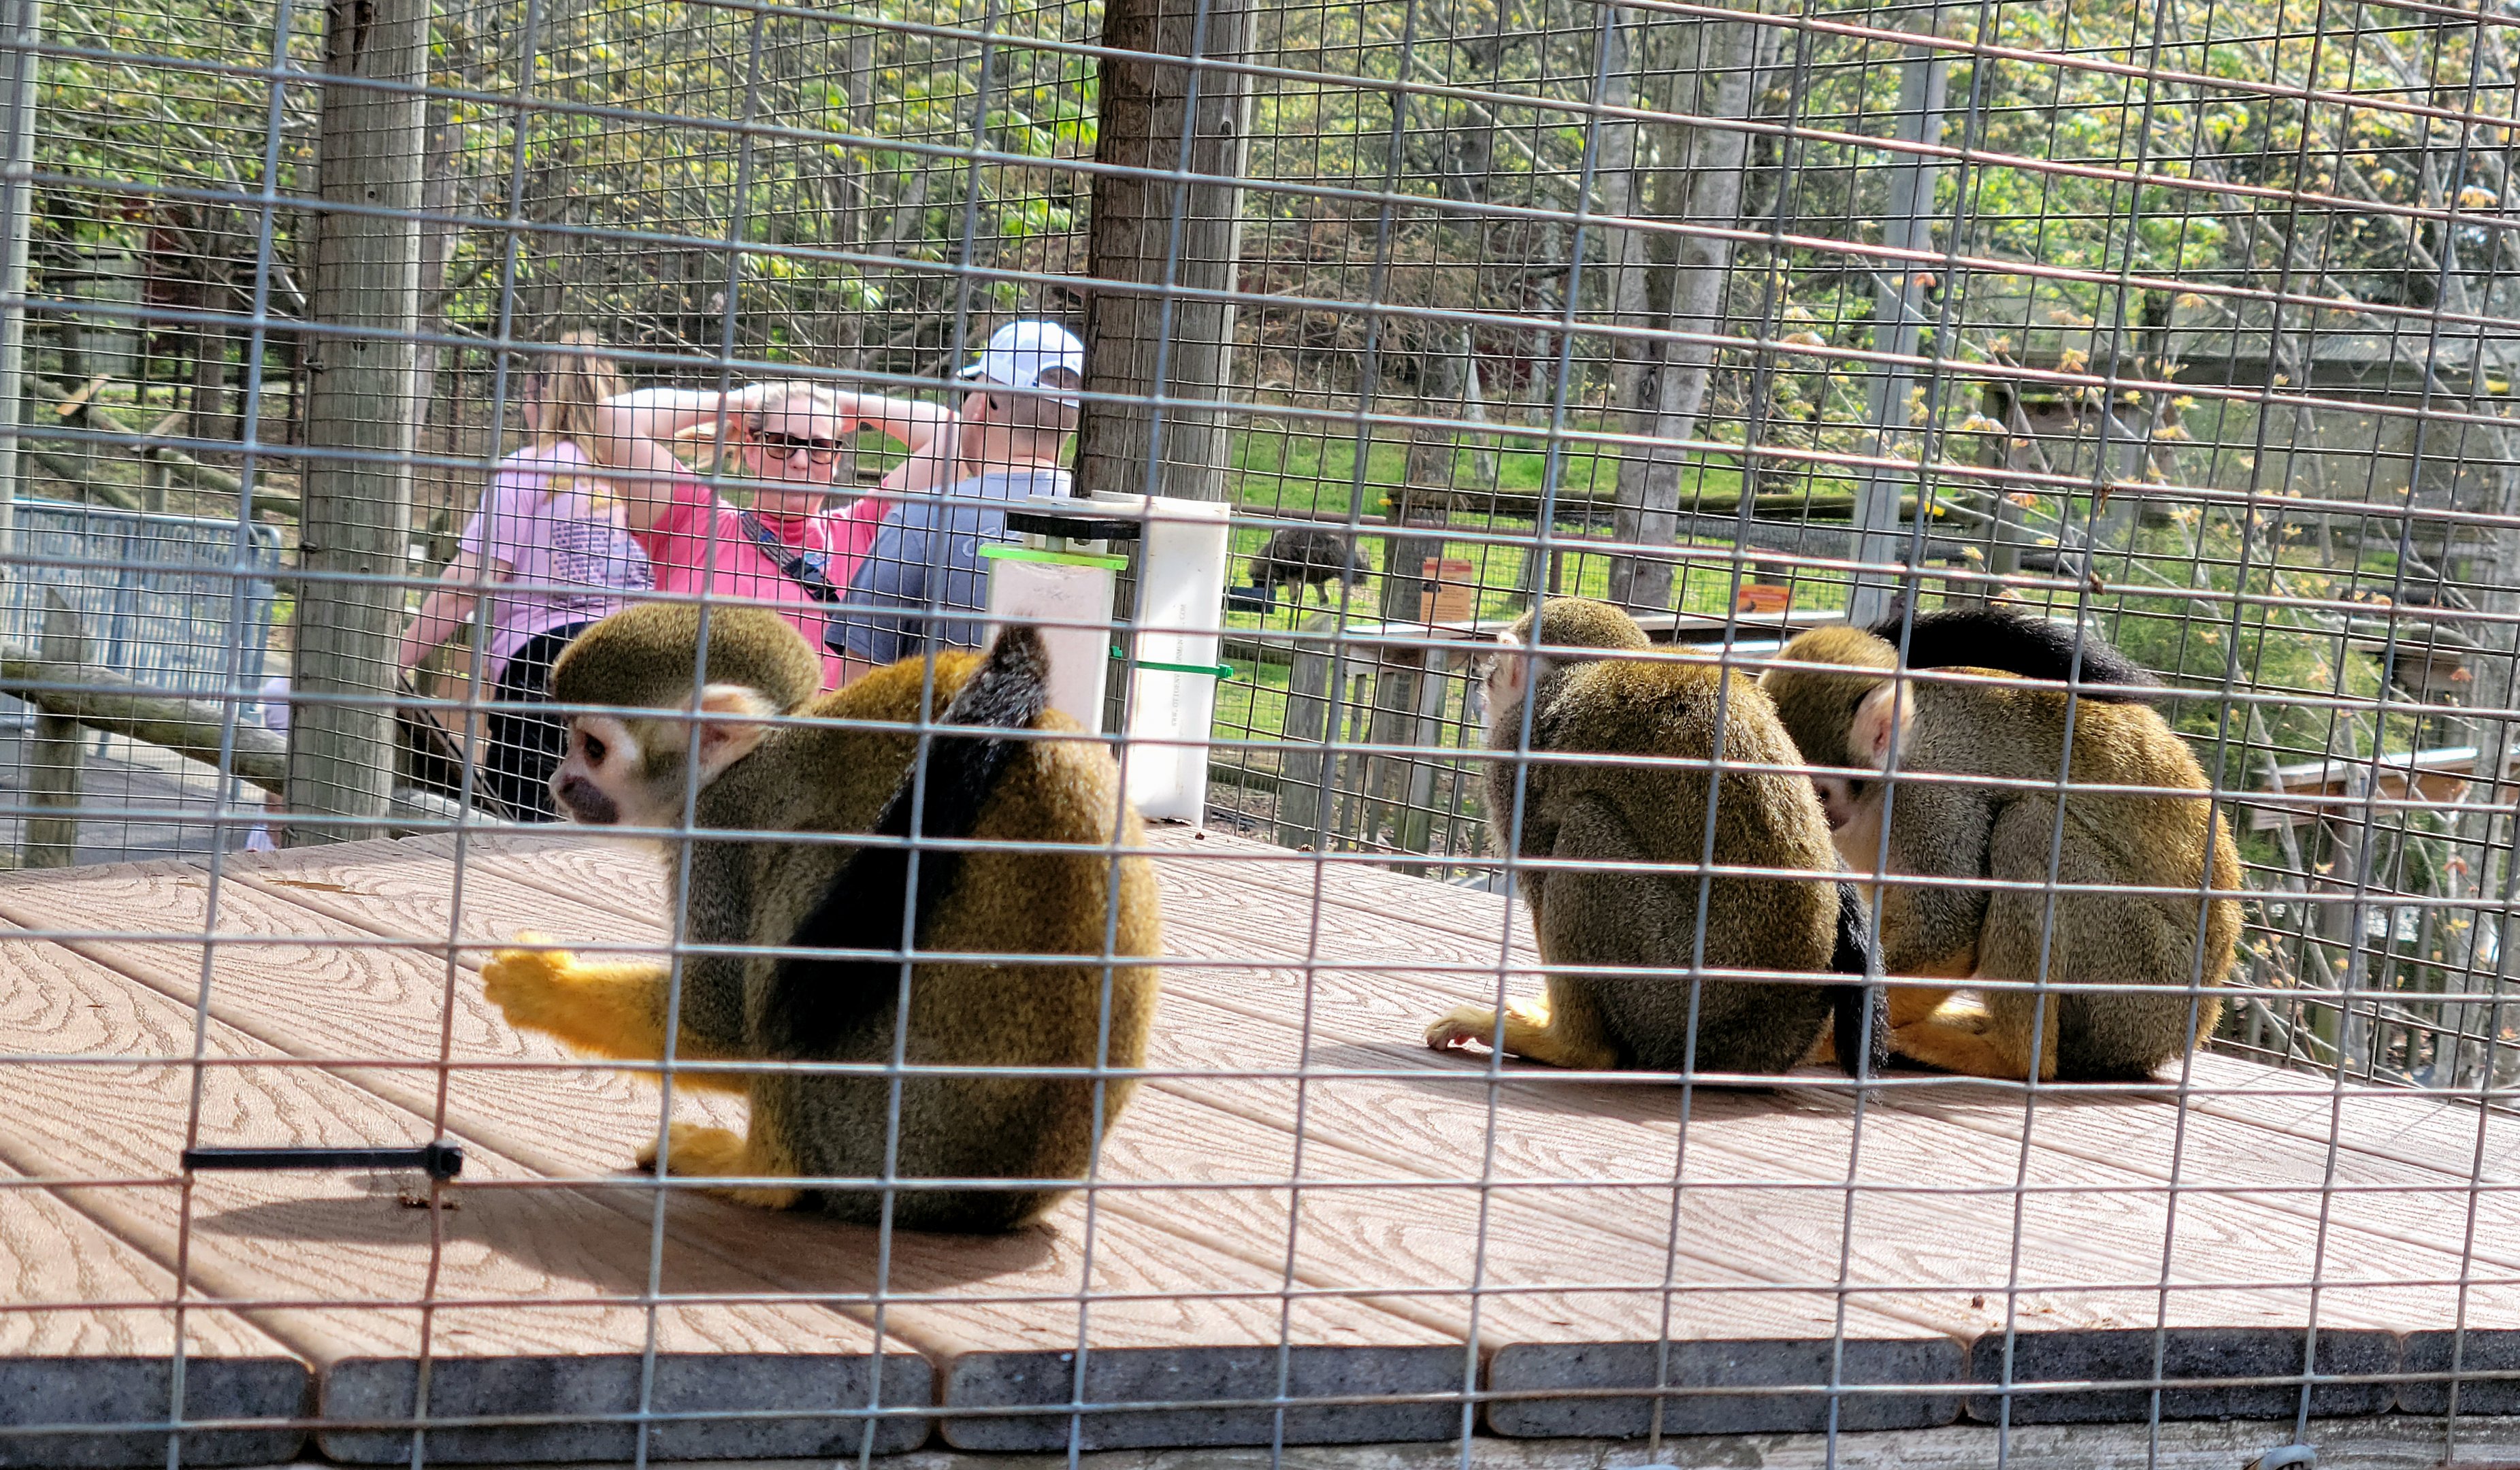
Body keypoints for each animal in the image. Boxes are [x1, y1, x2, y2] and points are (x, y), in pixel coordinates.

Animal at [478, 605, 1161, 1232]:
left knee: (802, 899)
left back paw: (762, 1177)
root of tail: (980, 1207)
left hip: (864, 1134)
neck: (749, 757)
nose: (560, 782)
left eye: (592, 749)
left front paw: (542, 984)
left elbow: (720, 1021)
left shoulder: (721, 832)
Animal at [1424, 597, 1886, 1080]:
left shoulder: (1515, 750)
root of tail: (1767, 1039)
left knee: (1583, 825)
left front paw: (1566, 1036)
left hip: (1667, 992)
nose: (1486, 687)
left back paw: (1570, 1047)